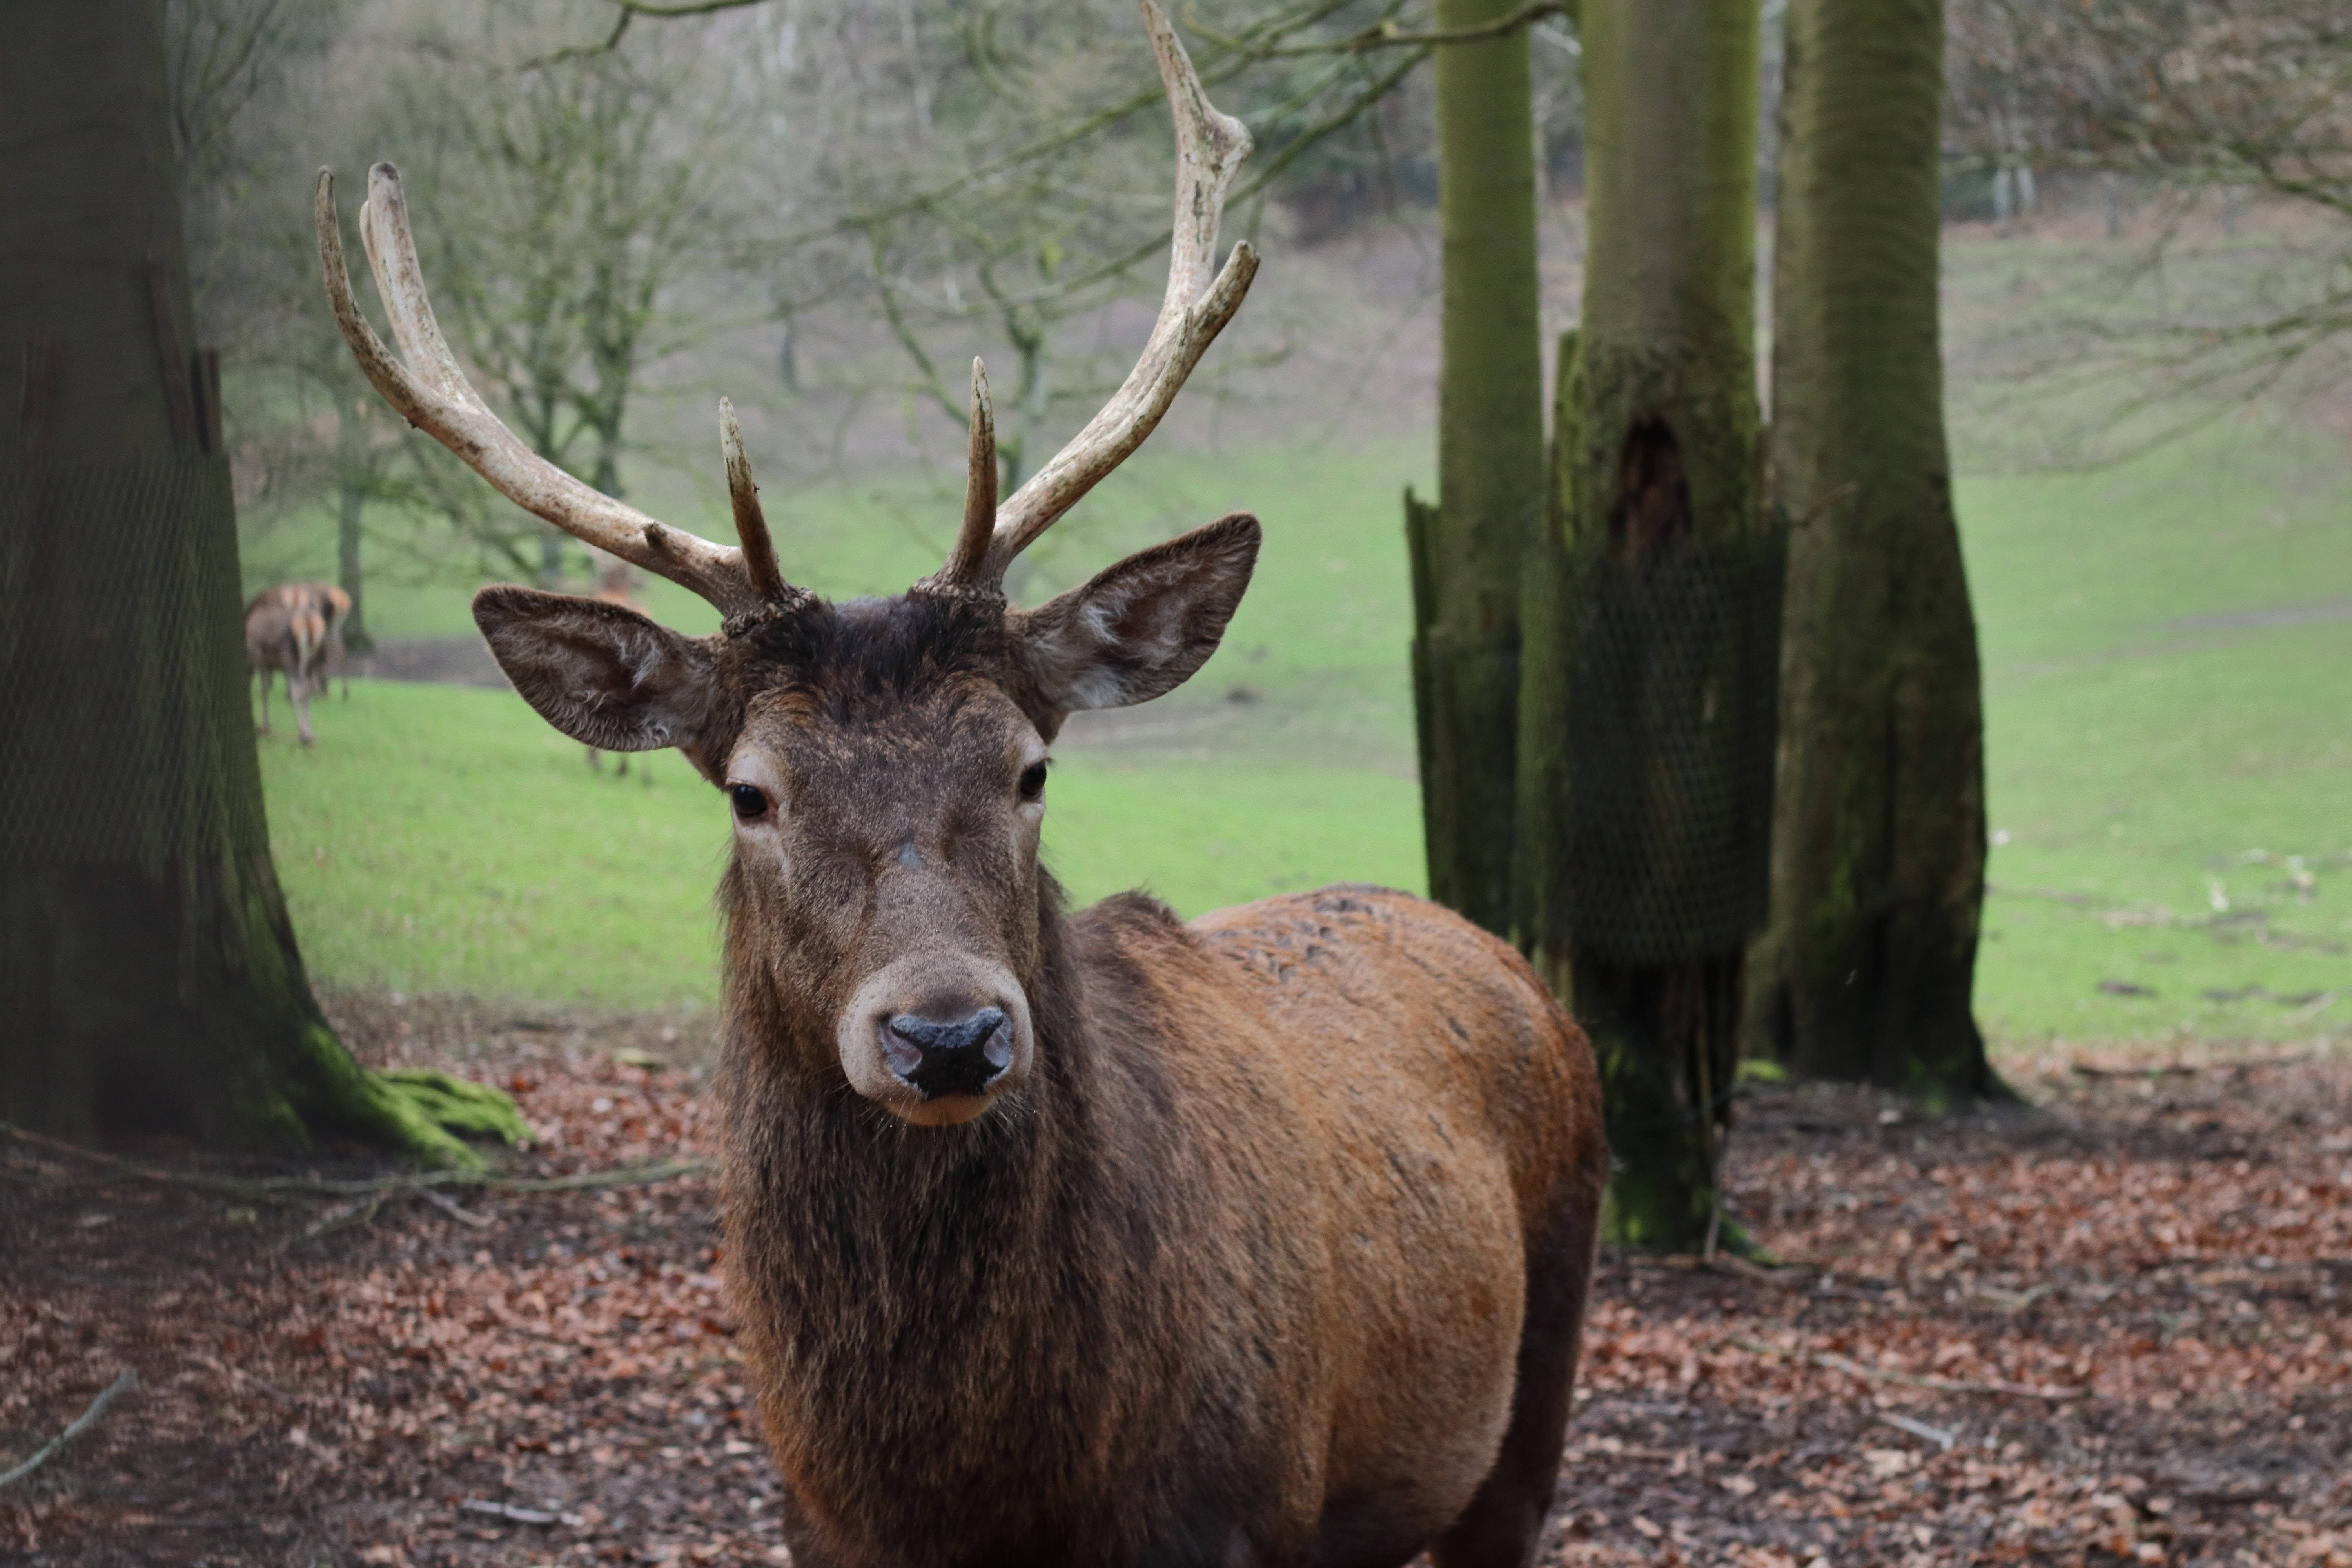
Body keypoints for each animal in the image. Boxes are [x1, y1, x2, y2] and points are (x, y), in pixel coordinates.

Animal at [318, 9, 1599, 1561]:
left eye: (1031, 765)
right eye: (750, 790)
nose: (946, 1034)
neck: (969, 1489)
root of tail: (1512, 962)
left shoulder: (1229, 1512)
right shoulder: (813, 1522)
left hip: (1538, 1371)